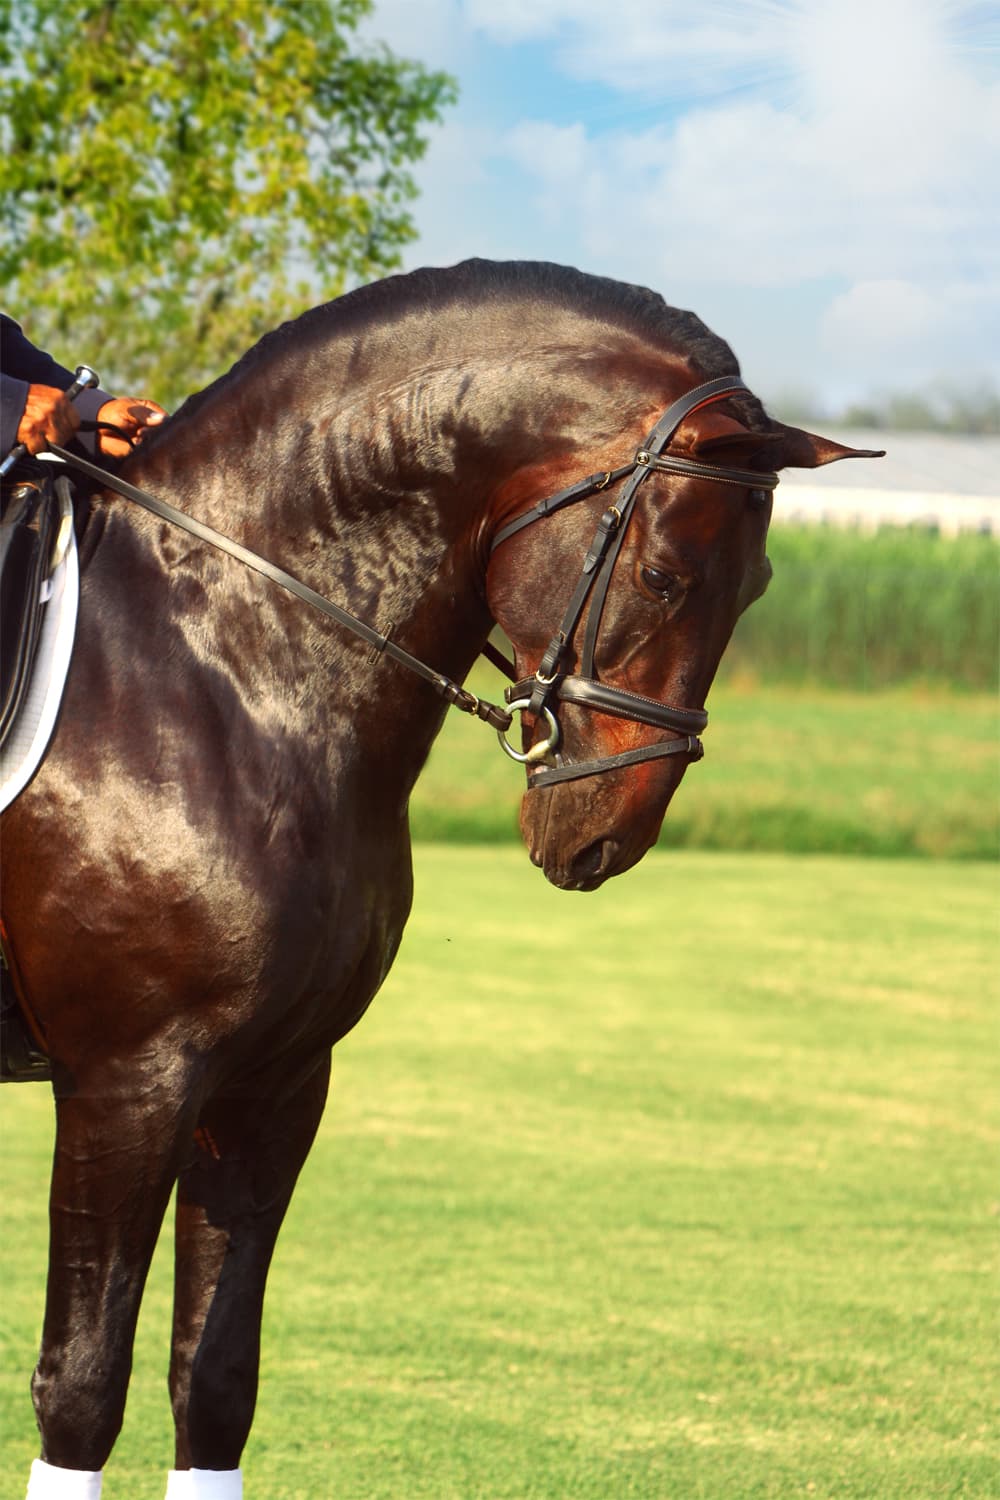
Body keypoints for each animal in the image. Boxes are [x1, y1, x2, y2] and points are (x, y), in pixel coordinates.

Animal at [0, 260, 880, 1497]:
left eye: (754, 587)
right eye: (663, 574)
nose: (603, 833)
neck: (221, 657)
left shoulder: (270, 1085)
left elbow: (214, 1384)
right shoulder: (127, 1084)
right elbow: (80, 1388)